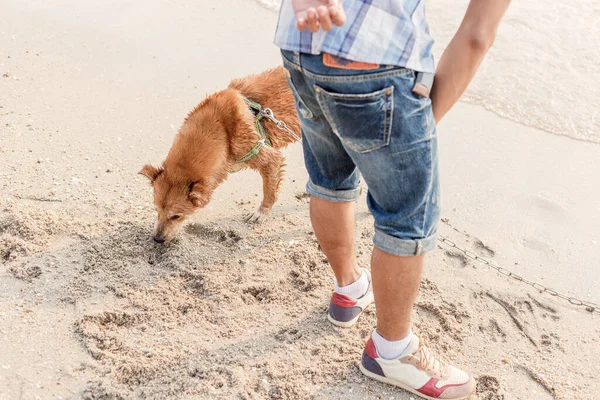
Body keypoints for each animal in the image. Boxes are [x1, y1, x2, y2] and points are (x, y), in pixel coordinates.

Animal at [139, 67, 300, 242]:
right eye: (156, 209)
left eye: (176, 216)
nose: (157, 239)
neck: (222, 130)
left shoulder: (269, 158)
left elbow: (269, 190)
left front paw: (262, 212)